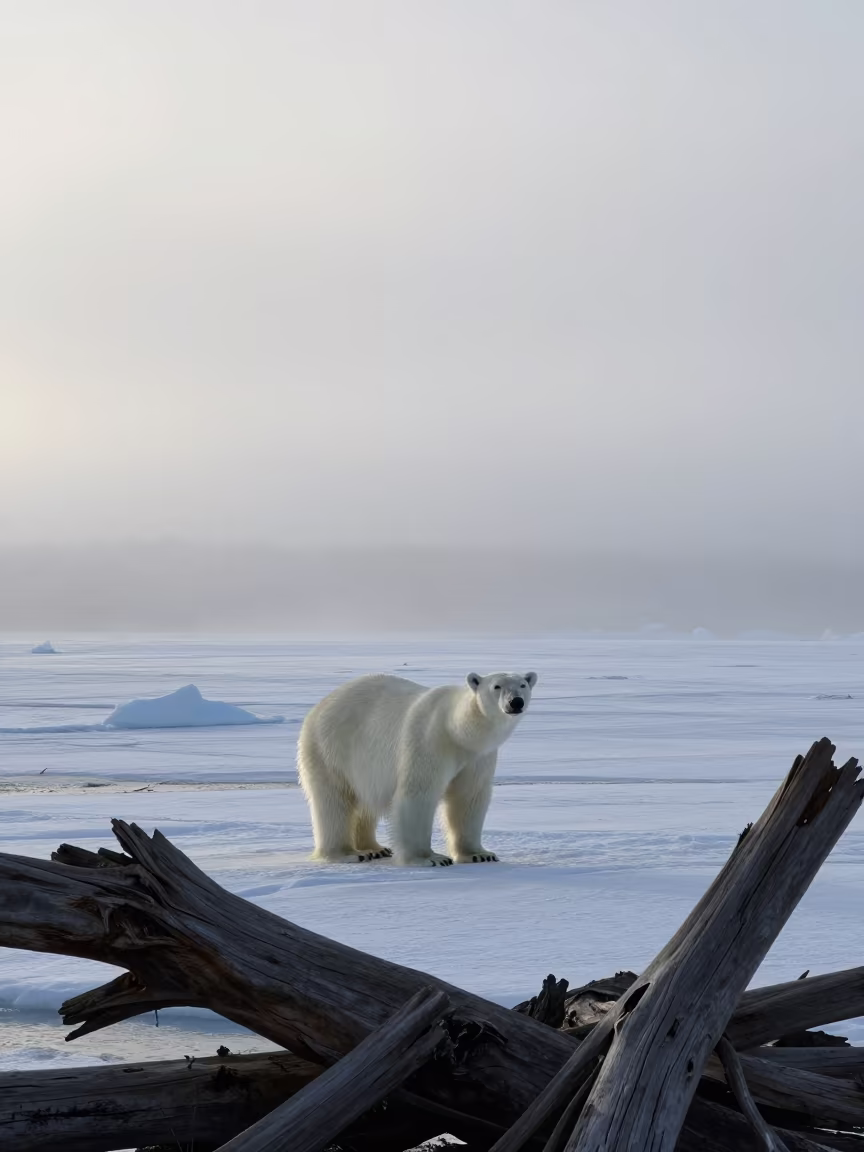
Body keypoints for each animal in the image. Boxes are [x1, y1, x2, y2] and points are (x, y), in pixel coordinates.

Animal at [297, 670, 537, 867]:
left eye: (523, 685)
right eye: (497, 686)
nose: (515, 702)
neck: (457, 732)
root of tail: (319, 706)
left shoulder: (478, 757)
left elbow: (469, 797)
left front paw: (479, 854)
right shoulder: (428, 742)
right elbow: (419, 794)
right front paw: (430, 858)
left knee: (364, 802)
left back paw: (375, 849)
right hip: (330, 749)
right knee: (333, 802)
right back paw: (348, 853)